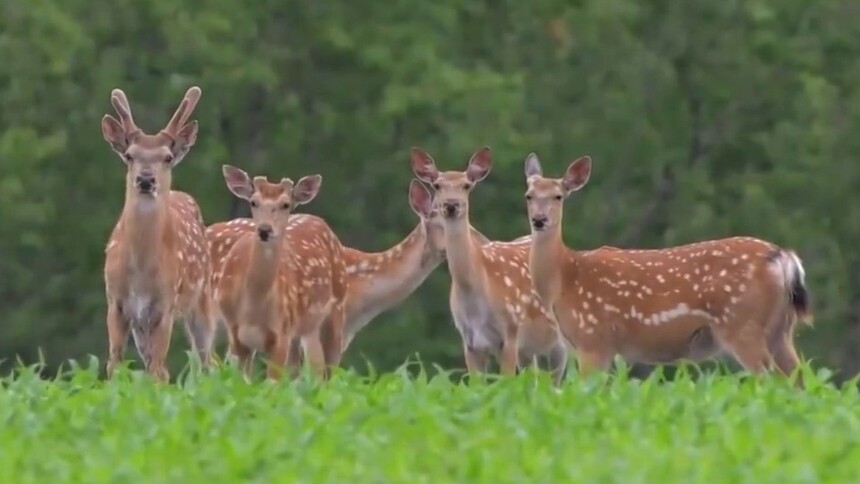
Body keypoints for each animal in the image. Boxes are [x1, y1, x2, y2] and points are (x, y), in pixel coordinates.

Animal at [100, 86, 215, 382]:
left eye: (168, 157)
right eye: (129, 155)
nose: (145, 179)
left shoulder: (166, 305)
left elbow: (156, 370)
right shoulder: (116, 302)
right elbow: (114, 364)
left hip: (202, 299)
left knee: (206, 360)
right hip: (141, 324)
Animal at [212, 165, 347, 380]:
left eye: (285, 204)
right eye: (253, 202)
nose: (265, 229)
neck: (253, 308)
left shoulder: (281, 332)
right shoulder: (235, 333)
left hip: (336, 310)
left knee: (328, 372)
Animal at [411, 146, 569, 385]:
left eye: (467, 185)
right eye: (437, 185)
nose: (451, 205)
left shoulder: (511, 332)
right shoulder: (470, 341)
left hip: (559, 340)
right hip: (530, 350)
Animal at [522, 153, 813, 384]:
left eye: (558, 196)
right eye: (529, 196)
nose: (539, 220)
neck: (564, 278)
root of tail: (783, 257)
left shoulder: (593, 339)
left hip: (742, 324)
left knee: (771, 380)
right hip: (780, 328)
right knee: (799, 380)